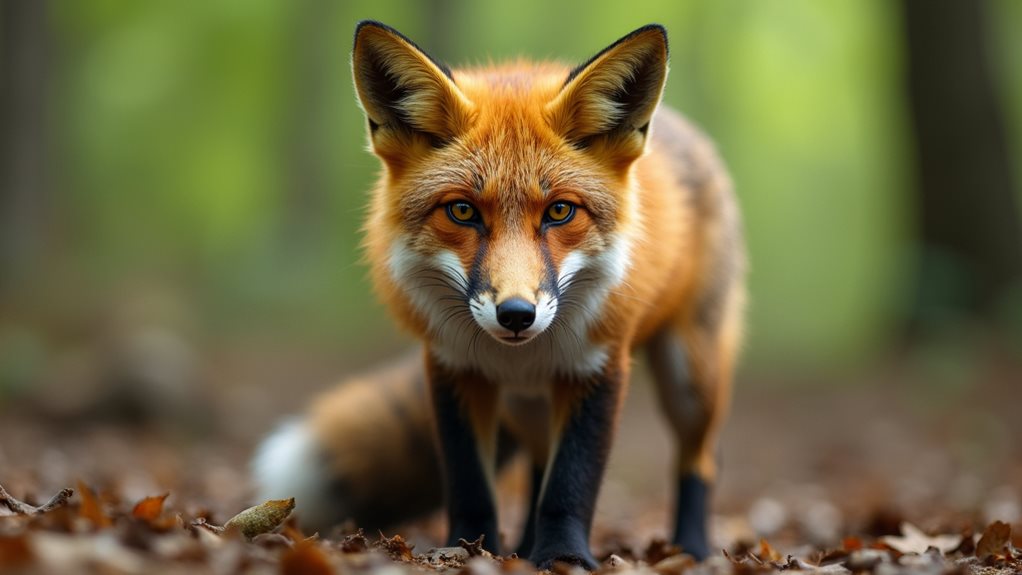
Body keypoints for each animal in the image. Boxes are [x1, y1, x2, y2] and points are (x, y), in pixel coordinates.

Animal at [253, 21, 746, 569]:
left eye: (560, 212)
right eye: (463, 211)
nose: (515, 314)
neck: (521, 353)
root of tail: (687, 130)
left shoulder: (598, 365)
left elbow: (571, 482)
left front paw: (564, 556)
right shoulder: (453, 367)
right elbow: (471, 482)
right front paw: (469, 548)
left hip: (690, 377)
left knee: (701, 458)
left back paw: (692, 547)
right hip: (528, 405)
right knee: (536, 465)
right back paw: (526, 545)